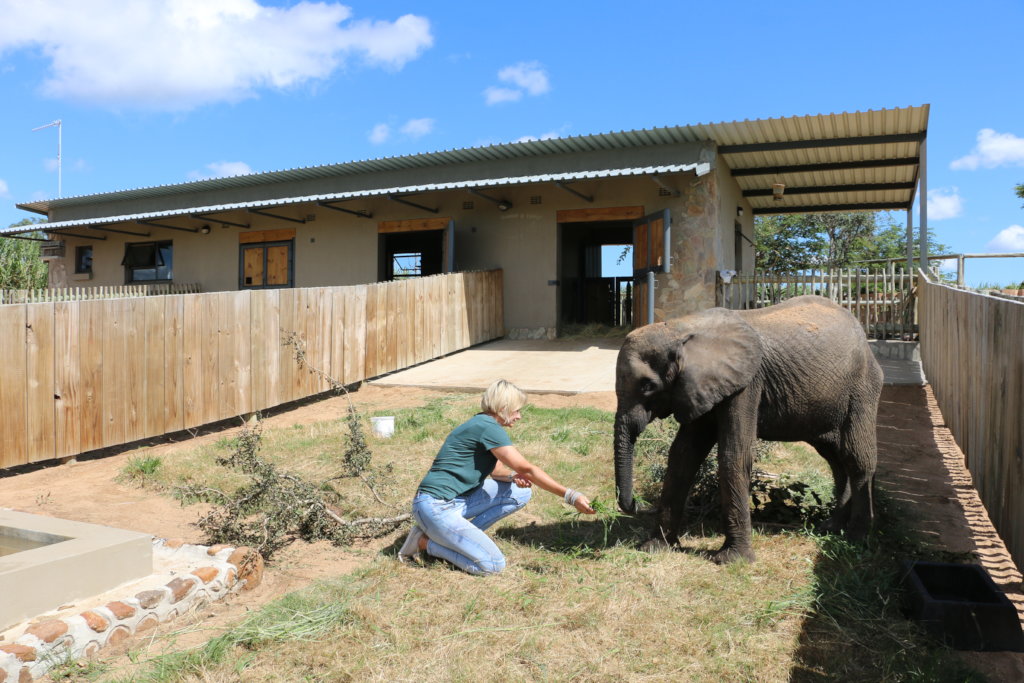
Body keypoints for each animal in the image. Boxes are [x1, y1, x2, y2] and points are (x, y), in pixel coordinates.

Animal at [613, 295, 883, 564]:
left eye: (648, 386)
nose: (636, 505)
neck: (681, 328)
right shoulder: (697, 386)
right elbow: (683, 455)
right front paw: (654, 547)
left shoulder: (747, 384)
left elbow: (733, 455)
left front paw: (732, 560)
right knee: (836, 458)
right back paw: (831, 528)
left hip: (862, 388)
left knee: (856, 457)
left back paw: (855, 538)